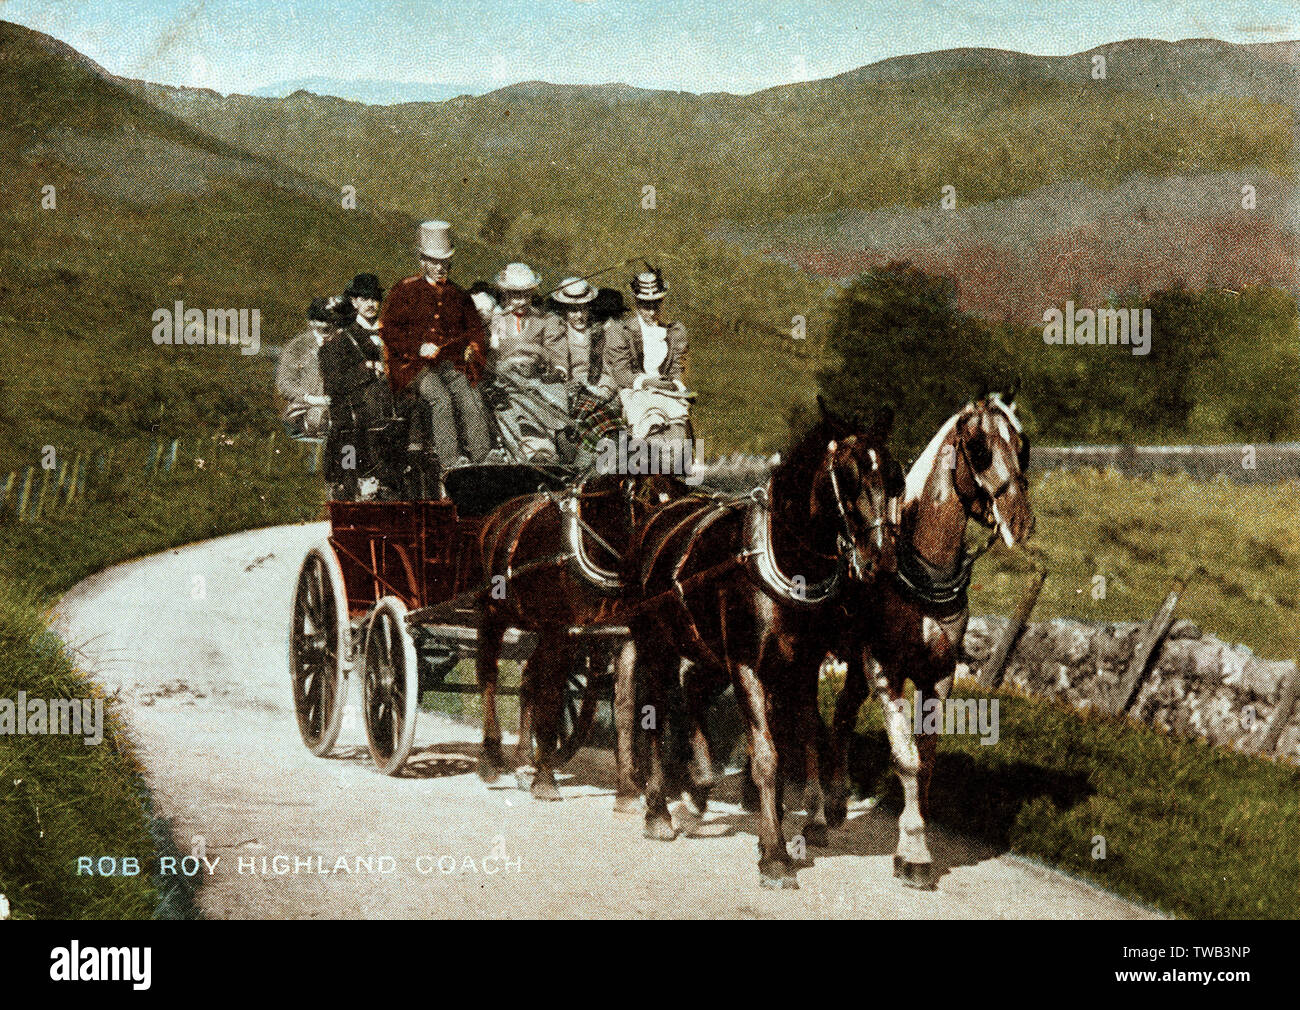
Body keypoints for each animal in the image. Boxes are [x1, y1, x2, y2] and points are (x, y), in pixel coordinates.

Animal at [473, 467, 686, 800]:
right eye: (651, 509)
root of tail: (495, 517)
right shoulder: (559, 631)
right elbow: (551, 697)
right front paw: (546, 780)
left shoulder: (622, 633)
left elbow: (625, 705)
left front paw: (629, 786)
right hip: (496, 614)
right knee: (488, 674)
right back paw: (492, 757)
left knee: (528, 677)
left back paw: (524, 759)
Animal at [626, 397, 899, 889]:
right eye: (848, 476)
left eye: (892, 476)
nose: (879, 560)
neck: (783, 560)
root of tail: (658, 514)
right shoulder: (748, 666)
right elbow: (768, 755)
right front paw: (774, 853)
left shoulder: (802, 665)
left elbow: (808, 736)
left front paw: (811, 822)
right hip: (656, 642)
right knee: (654, 709)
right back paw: (658, 810)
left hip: (707, 649)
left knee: (692, 689)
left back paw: (700, 781)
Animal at [826, 389, 1040, 889]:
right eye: (978, 447)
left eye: (1021, 445)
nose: (1018, 519)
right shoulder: (886, 670)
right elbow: (906, 758)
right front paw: (914, 850)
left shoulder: (937, 675)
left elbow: (926, 759)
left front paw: (916, 841)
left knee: (842, 716)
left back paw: (832, 805)